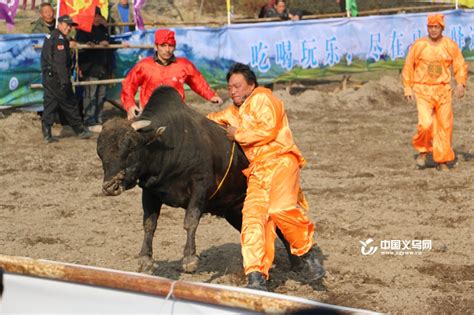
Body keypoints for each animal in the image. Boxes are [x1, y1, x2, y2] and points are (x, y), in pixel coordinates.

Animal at [97, 86, 302, 274]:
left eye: (131, 148)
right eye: (100, 152)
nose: (110, 186)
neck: (171, 143)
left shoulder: (199, 185)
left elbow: (190, 220)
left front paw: (189, 258)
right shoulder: (149, 190)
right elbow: (149, 224)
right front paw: (145, 259)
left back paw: (298, 263)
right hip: (234, 210)